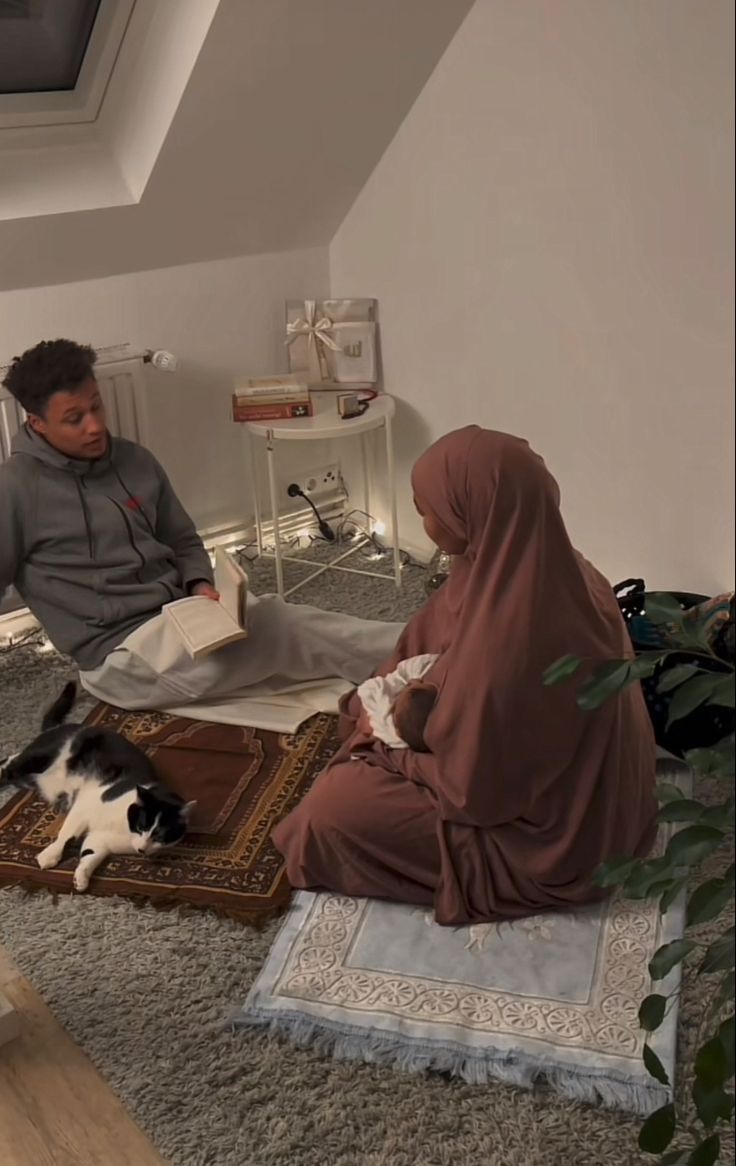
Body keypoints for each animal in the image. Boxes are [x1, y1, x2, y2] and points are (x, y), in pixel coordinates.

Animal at [0, 680, 195, 890]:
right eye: (142, 825)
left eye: (160, 836)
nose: (142, 849)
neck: (125, 829)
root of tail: (60, 727)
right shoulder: (83, 807)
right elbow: (66, 835)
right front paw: (49, 856)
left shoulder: (100, 840)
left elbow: (90, 856)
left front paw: (81, 878)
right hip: (39, 757)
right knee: (10, 764)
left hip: (30, 777)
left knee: (9, 761)